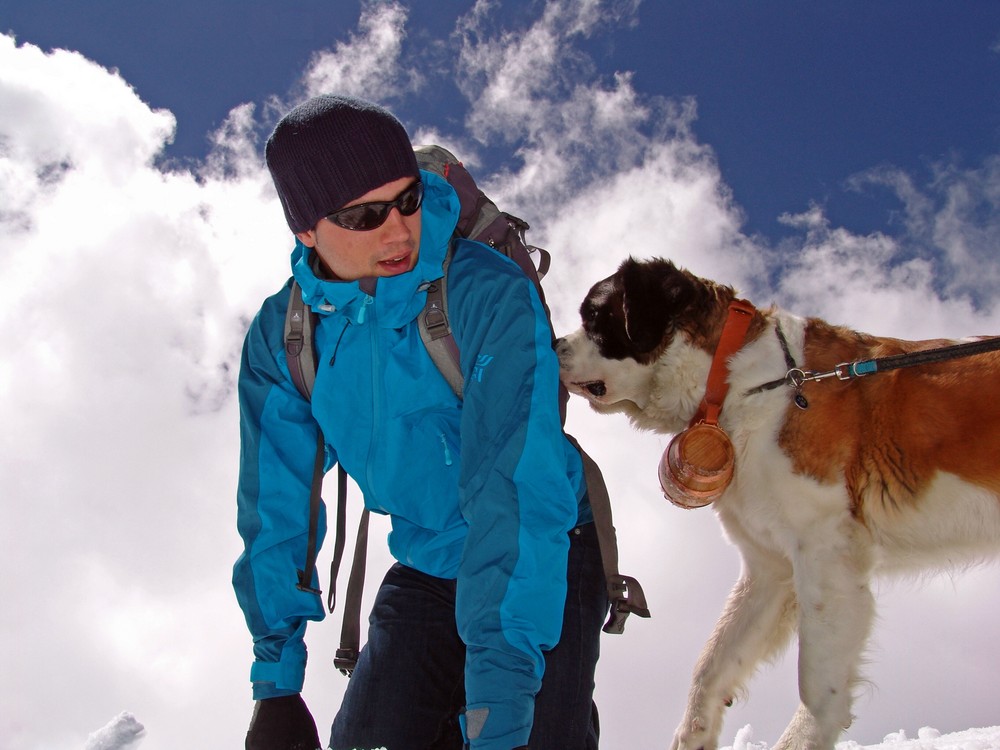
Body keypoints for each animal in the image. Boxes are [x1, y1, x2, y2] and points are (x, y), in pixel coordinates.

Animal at [556, 258, 1000, 750]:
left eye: (596, 316)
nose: (553, 344)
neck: (735, 382)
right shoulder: (770, 569)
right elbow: (710, 665)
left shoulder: (826, 555)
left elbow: (817, 687)